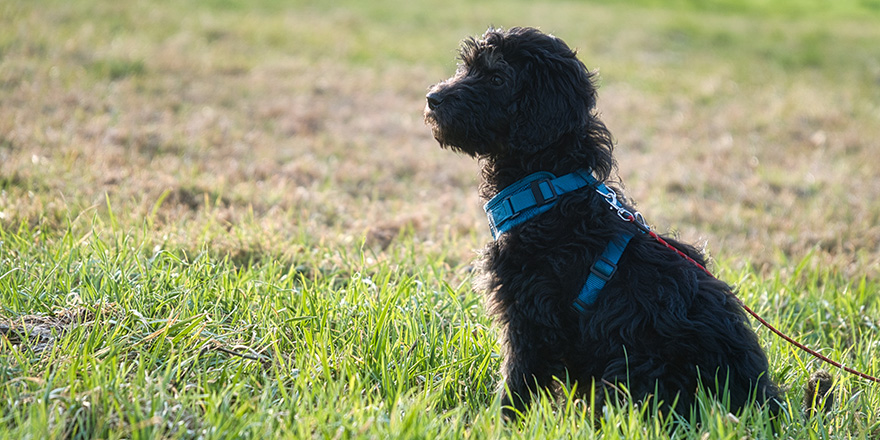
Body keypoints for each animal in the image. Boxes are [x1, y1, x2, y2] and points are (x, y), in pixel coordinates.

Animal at [422, 27, 780, 422]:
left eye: (498, 78)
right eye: (467, 68)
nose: (432, 98)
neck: (549, 188)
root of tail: (761, 402)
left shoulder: (533, 318)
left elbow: (518, 380)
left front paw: (496, 423)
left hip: (634, 368)